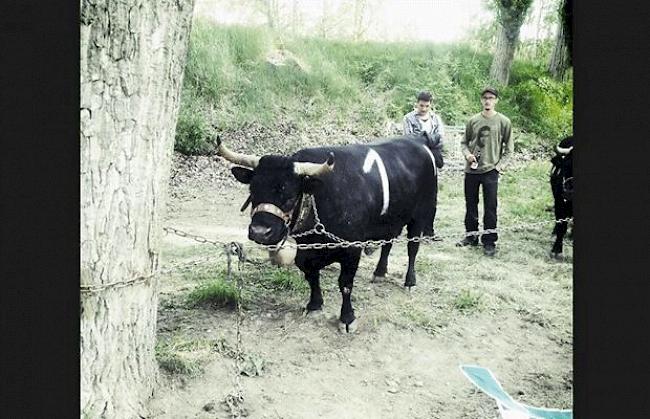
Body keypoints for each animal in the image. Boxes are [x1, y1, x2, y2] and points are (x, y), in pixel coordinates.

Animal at [216, 133, 440, 334]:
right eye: (252, 191)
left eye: (290, 196)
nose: (260, 232)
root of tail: (419, 141)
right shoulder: (305, 252)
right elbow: (311, 276)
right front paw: (314, 304)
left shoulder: (351, 249)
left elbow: (345, 284)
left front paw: (347, 318)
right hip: (391, 219)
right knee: (388, 243)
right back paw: (379, 272)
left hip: (421, 214)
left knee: (412, 248)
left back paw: (409, 281)